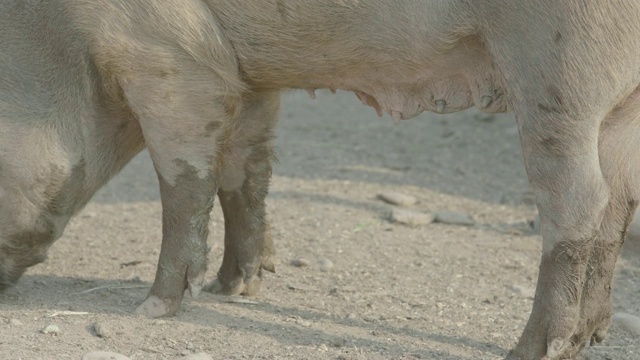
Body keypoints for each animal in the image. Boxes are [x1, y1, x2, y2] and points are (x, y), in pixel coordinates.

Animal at [1, 0, 640, 360]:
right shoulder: (247, 78)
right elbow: (244, 174)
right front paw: (233, 289)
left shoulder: (169, 62)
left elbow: (184, 181)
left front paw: (151, 310)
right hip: (621, 100)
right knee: (619, 200)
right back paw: (594, 337)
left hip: (561, 69)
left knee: (577, 202)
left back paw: (529, 351)